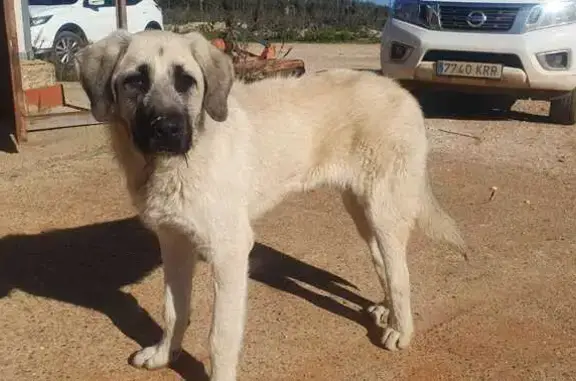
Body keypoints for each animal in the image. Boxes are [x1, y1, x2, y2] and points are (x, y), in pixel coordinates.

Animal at [74, 29, 466, 380]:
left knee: (401, 273)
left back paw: (402, 328)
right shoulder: (174, 243)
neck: (175, 164)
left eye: (186, 81)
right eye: (135, 82)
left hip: (384, 209)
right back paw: (387, 310)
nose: (168, 129)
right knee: (383, 261)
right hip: (362, 209)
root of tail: (402, 92)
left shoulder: (229, 252)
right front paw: (164, 354)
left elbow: (220, 337)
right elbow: (173, 309)